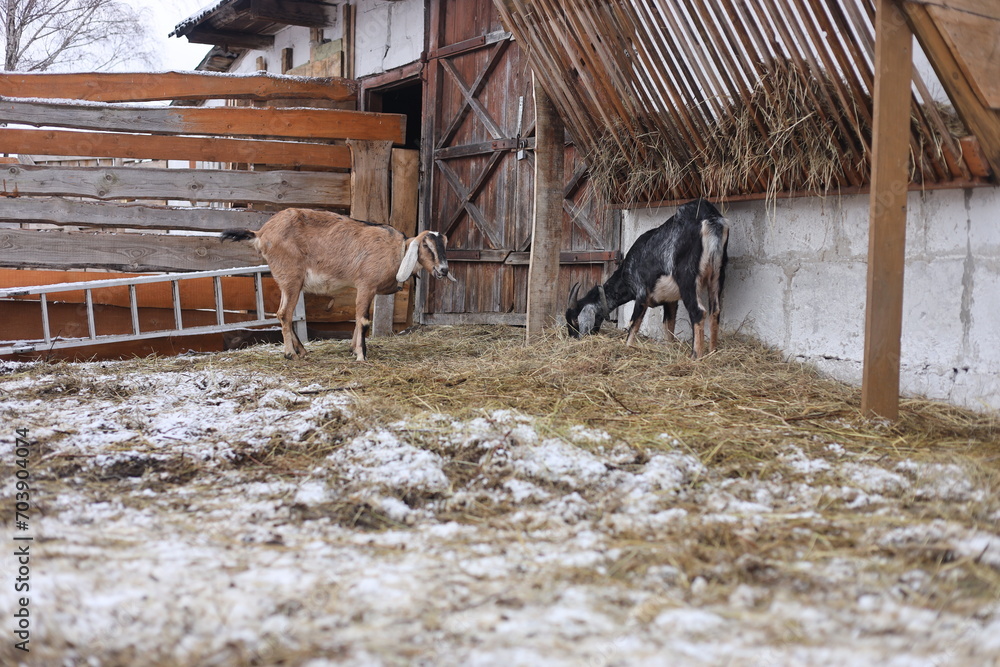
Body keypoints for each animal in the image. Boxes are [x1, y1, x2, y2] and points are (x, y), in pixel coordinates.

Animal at [222, 208, 456, 361]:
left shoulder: (367, 289)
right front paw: (361, 355)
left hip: (287, 280)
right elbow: (363, 320)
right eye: (426, 246)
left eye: (444, 244)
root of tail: (261, 234)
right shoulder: (366, 284)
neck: (396, 250)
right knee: (284, 314)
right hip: (291, 277)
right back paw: (290, 354)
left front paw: (353, 349)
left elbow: (359, 318)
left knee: (283, 313)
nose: (443, 270)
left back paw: (302, 351)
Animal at [565, 198, 729, 358]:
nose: (574, 338)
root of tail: (709, 218)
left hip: (687, 278)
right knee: (715, 310)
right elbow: (668, 327)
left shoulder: (641, 293)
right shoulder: (670, 301)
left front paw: (627, 347)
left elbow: (633, 325)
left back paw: (696, 356)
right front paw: (668, 349)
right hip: (718, 274)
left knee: (698, 312)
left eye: (575, 320)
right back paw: (713, 352)